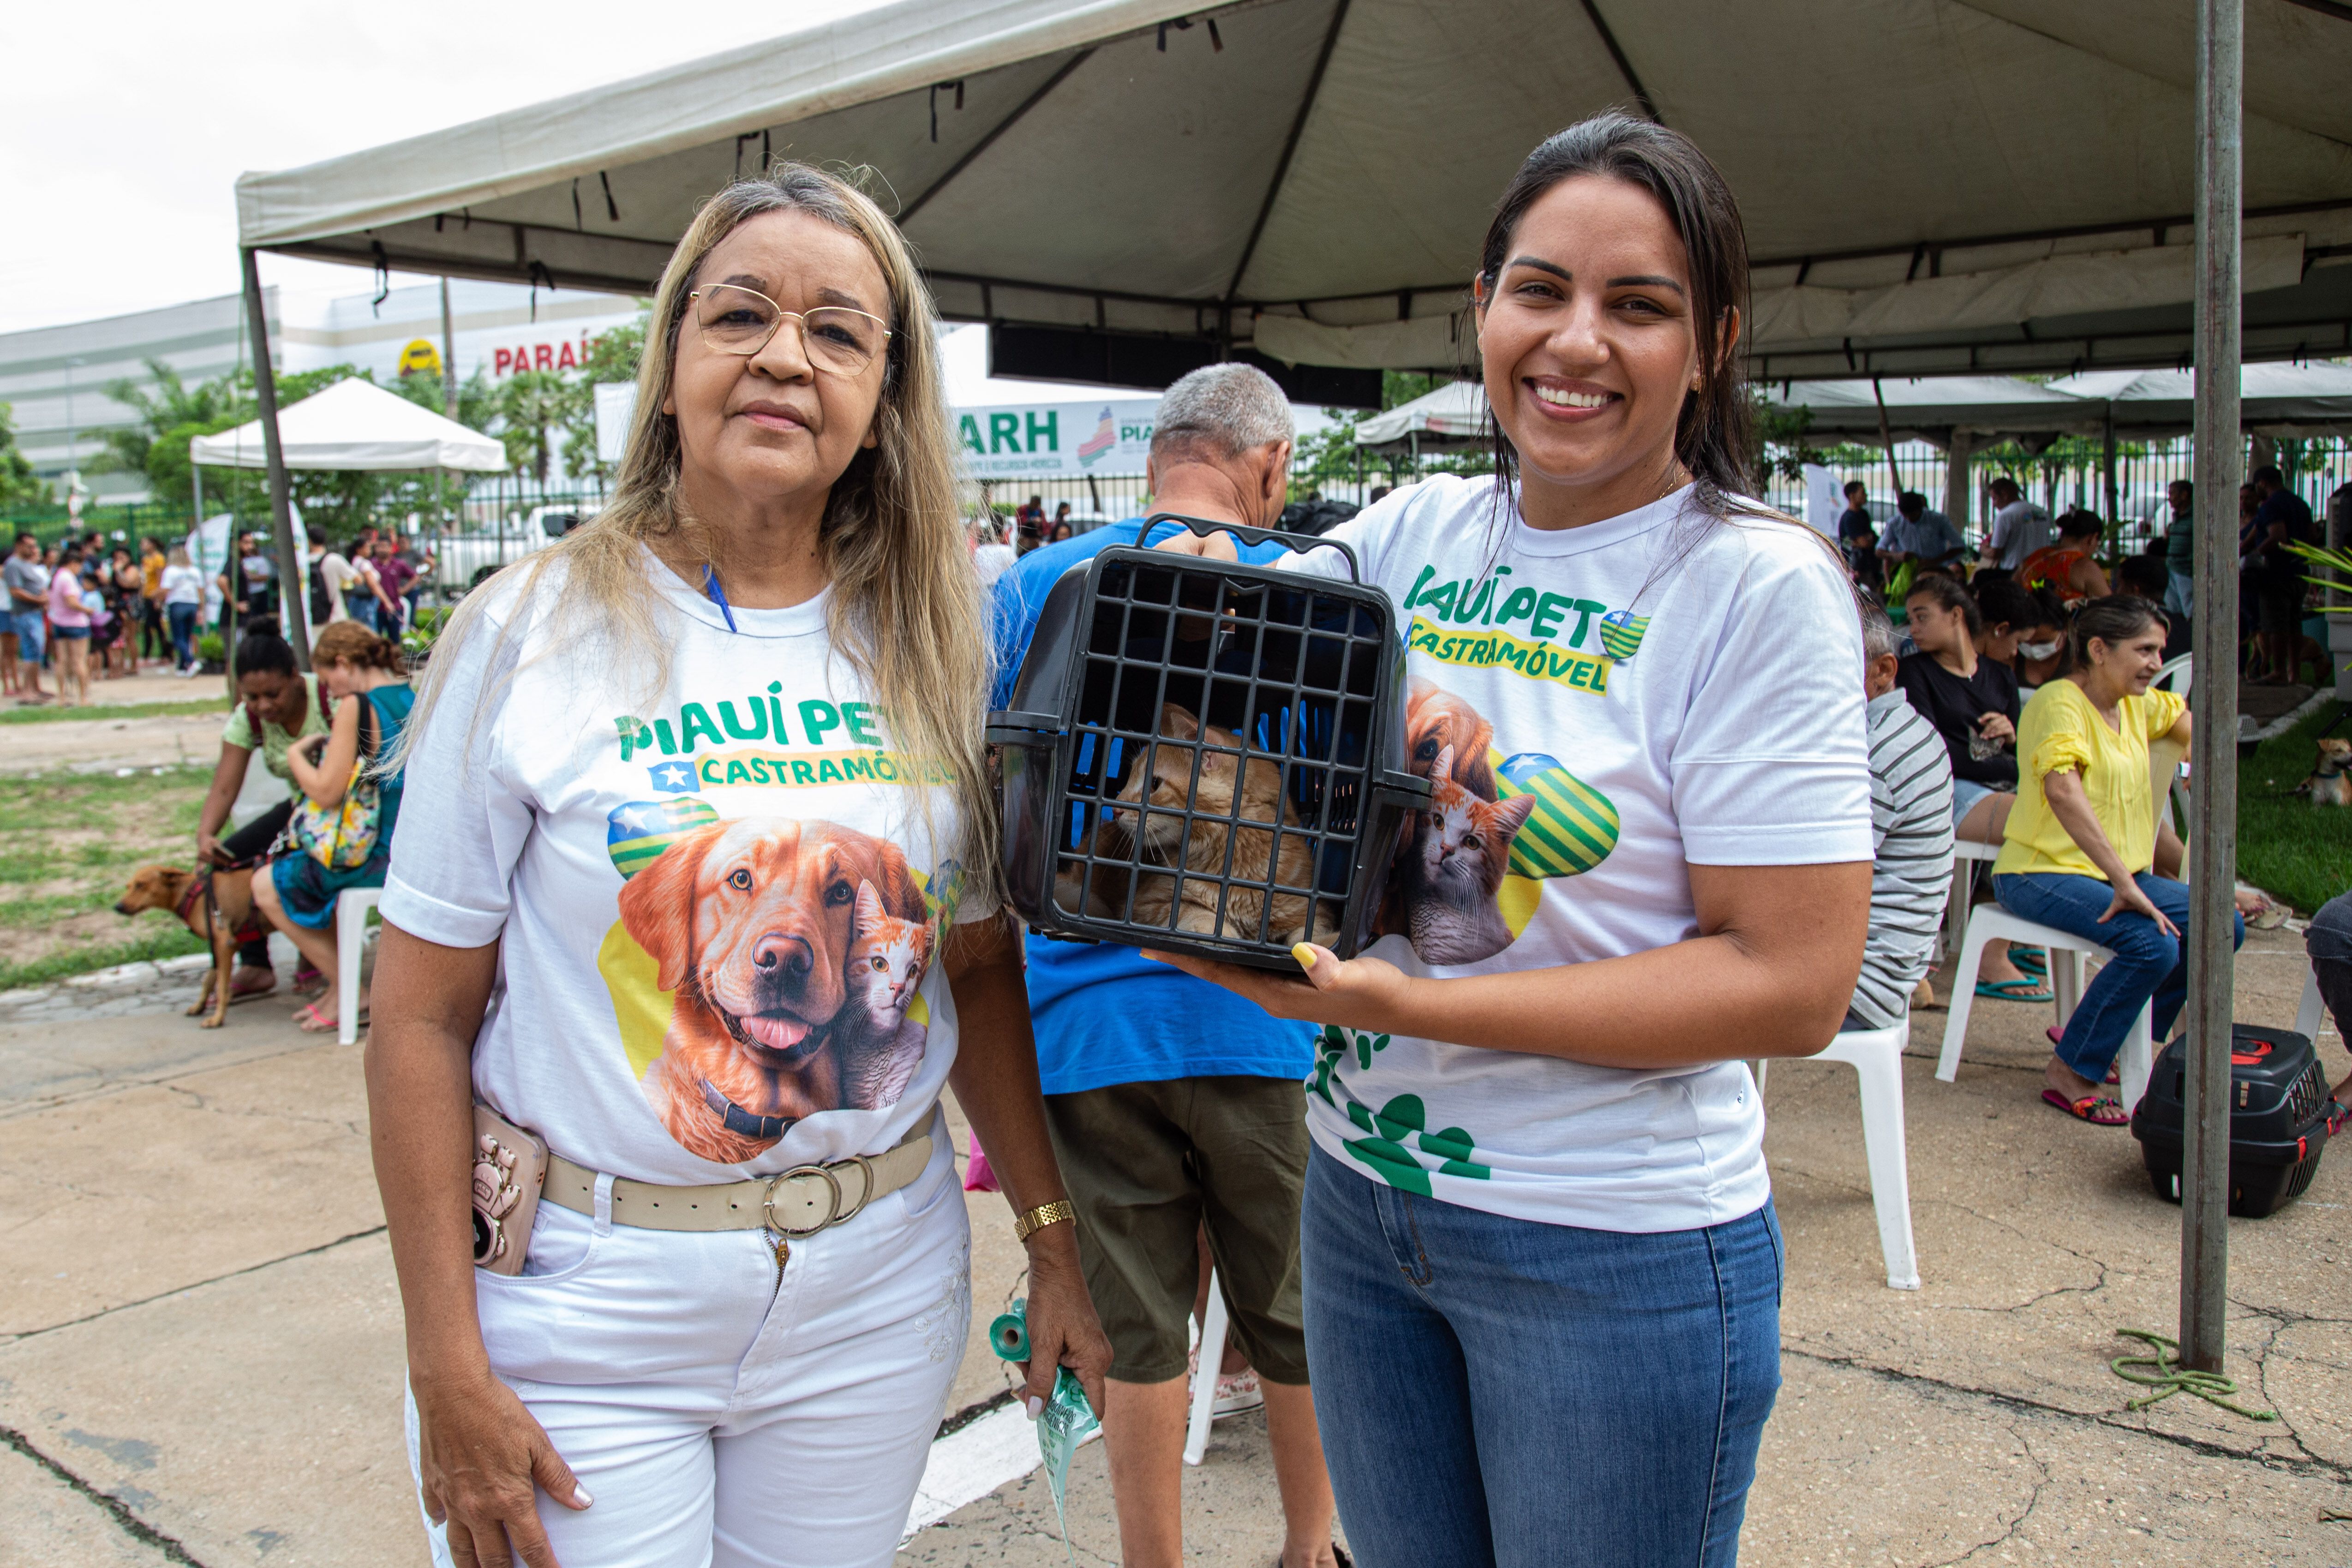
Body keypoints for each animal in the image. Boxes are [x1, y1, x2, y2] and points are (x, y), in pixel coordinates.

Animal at [115, 860, 264, 1029]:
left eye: (140, 885)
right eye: (128, 886)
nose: (117, 907)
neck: (190, 894)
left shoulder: (225, 945)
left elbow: (222, 988)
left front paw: (217, 1019)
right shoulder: (225, 945)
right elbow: (208, 980)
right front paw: (200, 1006)